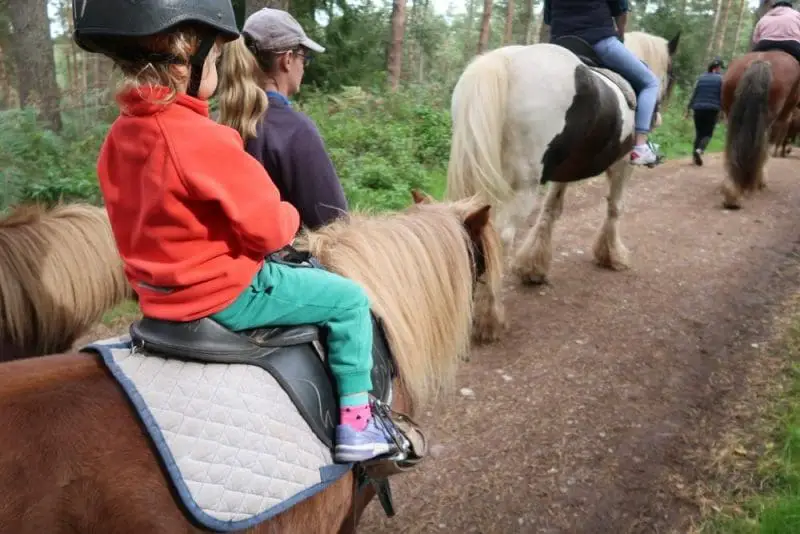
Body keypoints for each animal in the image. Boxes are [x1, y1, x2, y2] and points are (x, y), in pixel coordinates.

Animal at [446, 31, 680, 286]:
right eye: (671, 71)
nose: (659, 114)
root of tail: (506, 62)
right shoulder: (623, 163)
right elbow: (615, 207)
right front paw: (612, 255)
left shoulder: (567, 168)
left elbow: (551, 208)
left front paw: (533, 265)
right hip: (523, 186)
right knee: (499, 236)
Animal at [720, 50, 800, 209]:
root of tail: (761, 61)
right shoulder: (785, 118)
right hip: (776, 116)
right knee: (769, 142)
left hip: (730, 109)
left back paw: (732, 188)